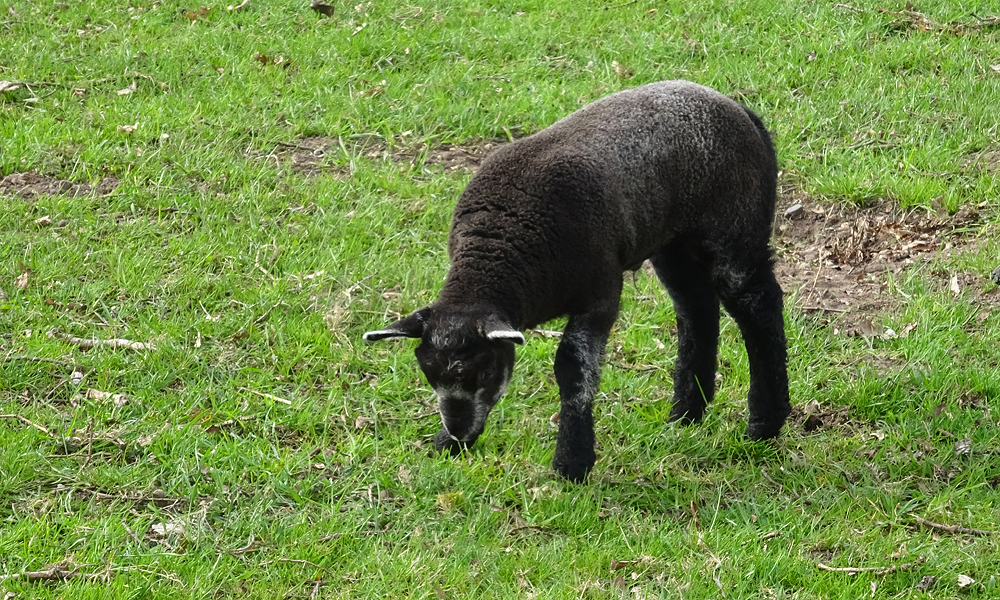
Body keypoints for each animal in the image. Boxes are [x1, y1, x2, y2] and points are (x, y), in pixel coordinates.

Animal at [364, 80, 791, 482]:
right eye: (428, 373)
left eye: (484, 372)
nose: (457, 430)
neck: (505, 250)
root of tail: (741, 111)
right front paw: (447, 444)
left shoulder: (600, 292)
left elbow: (573, 367)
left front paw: (572, 463)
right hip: (672, 242)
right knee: (697, 310)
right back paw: (686, 414)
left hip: (733, 227)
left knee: (759, 306)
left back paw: (764, 423)